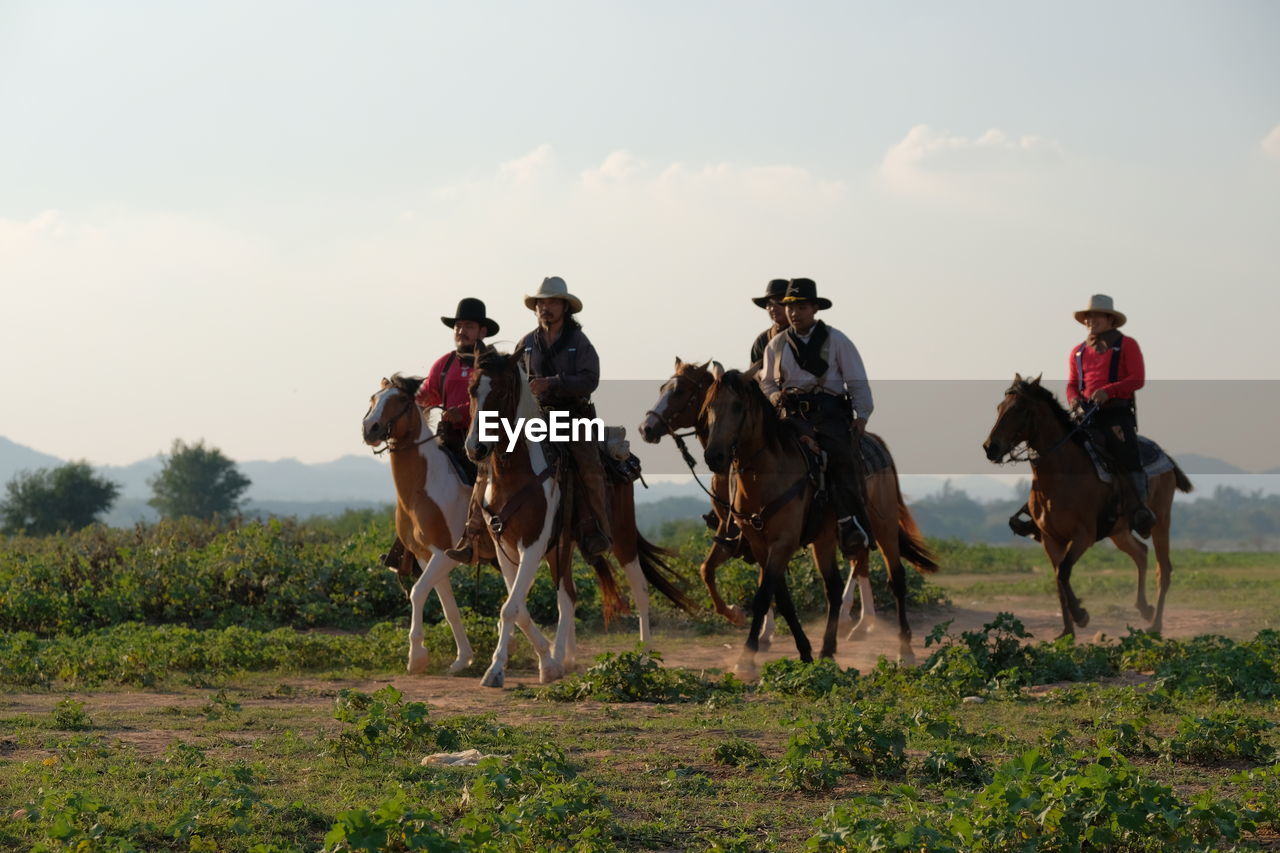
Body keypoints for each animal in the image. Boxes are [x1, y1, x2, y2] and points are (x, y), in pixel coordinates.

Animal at [360, 376, 476, 676]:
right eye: (373, 398)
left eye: (401, 400)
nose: (369, 428)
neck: (421, 489)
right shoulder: (426, 557)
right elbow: (449, 608)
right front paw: (463, 659)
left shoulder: (445, 554)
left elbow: (417, 592)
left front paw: (416, 656)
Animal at [465, 345, 696, 686]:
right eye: (471, 390)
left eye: (502, 390)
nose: (476, 448)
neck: (516, 474)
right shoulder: (504, 545)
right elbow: (518, 608)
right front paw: (548, 662)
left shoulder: (532, 544)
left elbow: (510, 608)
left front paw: (496, 670)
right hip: (563, 545)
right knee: (568, 595)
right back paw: (565, 657)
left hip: (621, 537)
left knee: (639, 589)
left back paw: (644, 657)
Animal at [634, 353, 936, 645]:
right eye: (663, 387)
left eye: (680, 390)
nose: (646, 427)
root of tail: (876, 443)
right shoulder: (736, 533)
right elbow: (708, 570)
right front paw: (738, 616)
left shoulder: (778, 538)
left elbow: (763, 584)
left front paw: (761, 632)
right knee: (857, 563)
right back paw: (857, 625)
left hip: (880, 523)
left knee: (886, 572)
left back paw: (879, 632)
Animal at [983, 373, 1192, 637]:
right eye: (1000, 407)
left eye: (1019, 408)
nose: (990, 447)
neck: (1062, 473)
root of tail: (1165, 457)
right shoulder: (1051, 539)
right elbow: (1058, 578)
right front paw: (1067, 631)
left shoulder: (1083, 535)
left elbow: (1064, 571)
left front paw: (1081, 615)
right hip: (1119, 531)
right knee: (1141, 553)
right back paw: (1144, 608)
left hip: (1161, 521)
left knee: (1163, 570)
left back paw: (1155, 625)